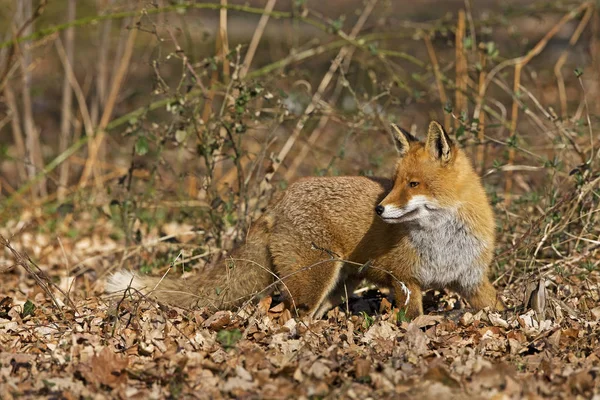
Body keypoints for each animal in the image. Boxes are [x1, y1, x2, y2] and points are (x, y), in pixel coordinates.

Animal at [105, 121, 504, 318]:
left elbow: (498, 309)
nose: (379, 210)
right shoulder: (404, 281)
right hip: (316, 279)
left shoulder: (471, 280)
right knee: (287, 316)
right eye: (394, 182)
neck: (443, 241)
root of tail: (277, 201)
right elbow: (414, 319)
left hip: (338, 283)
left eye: (413, 184)